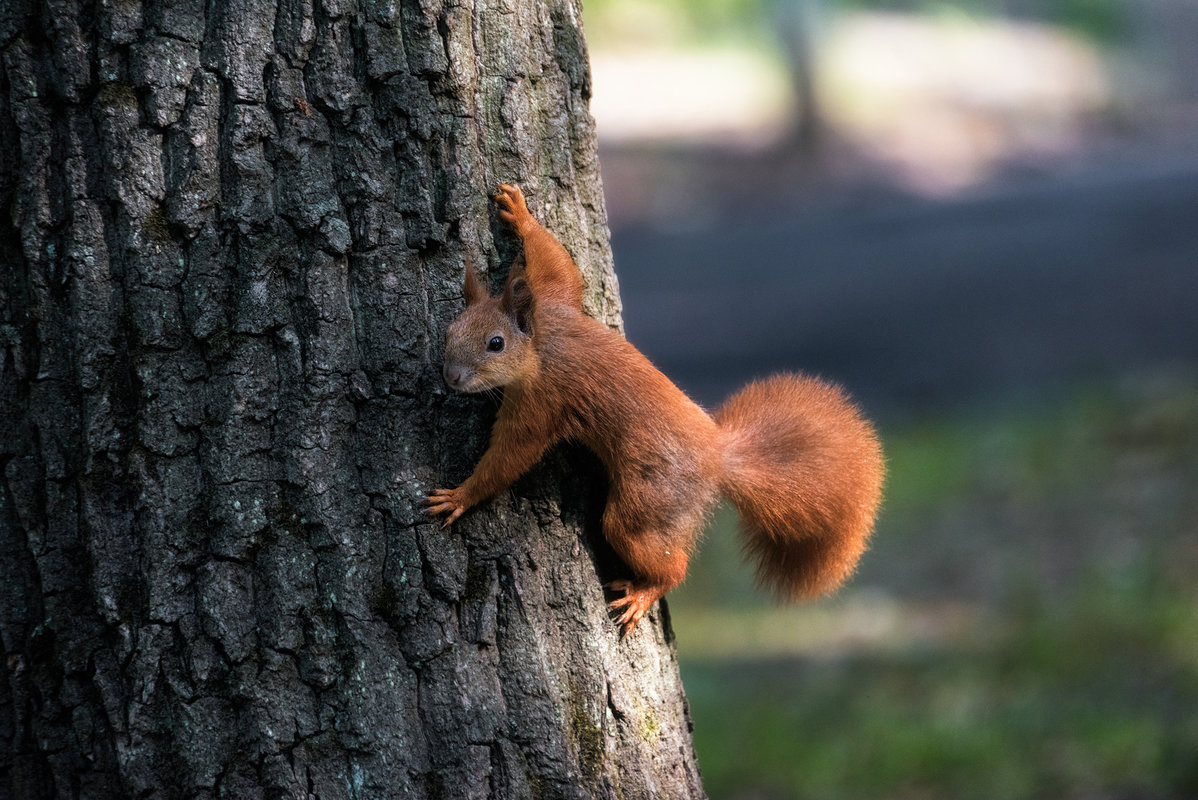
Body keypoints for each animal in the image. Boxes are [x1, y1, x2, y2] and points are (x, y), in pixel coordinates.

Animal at [426, 184, 886, 632]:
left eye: (496, 343)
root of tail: (717, 460)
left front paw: (462, 495)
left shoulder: (542, 401)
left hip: (649, 501)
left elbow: (512, 455)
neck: (542, 342)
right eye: (449, 331)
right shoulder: (554, 299)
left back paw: (643, 594)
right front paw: (520, 213)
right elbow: (560, 267)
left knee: (661, 556)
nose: (451, 377)